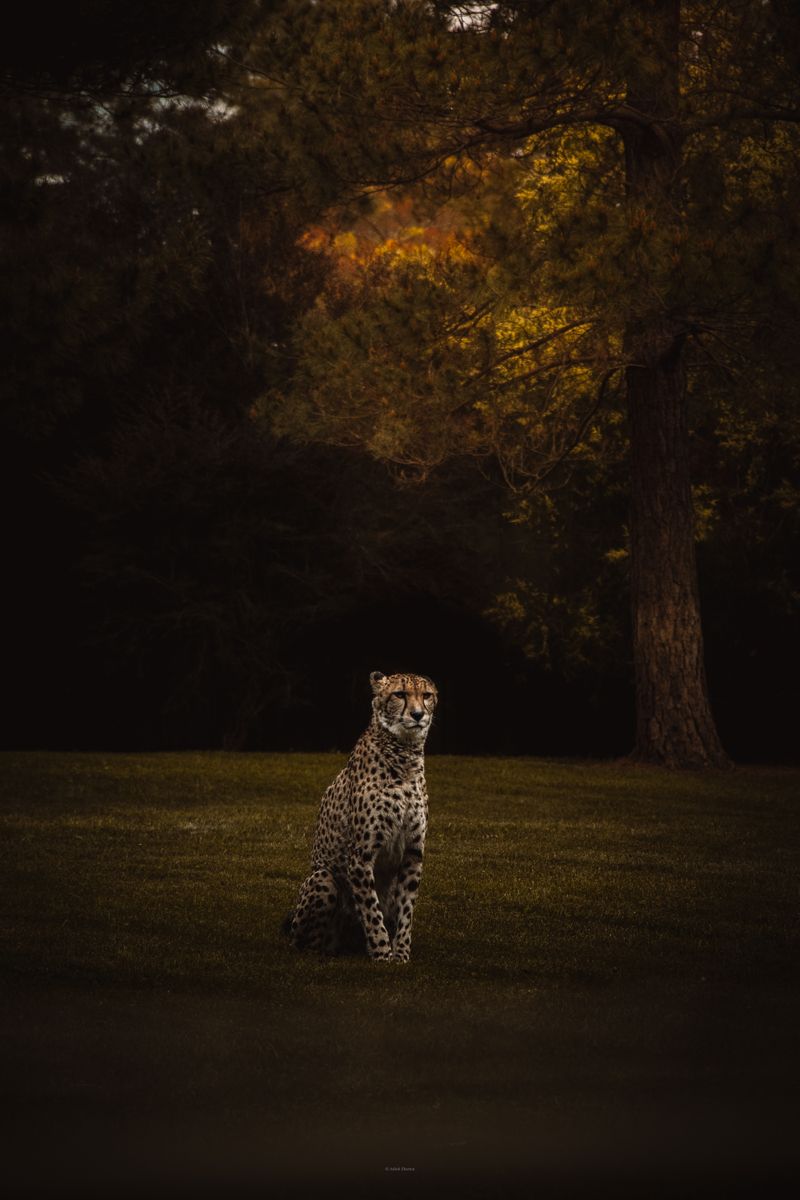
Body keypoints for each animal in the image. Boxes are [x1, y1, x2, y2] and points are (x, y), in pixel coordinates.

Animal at [286, 670, 437, 962]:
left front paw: (401, 955)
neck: (404, 755)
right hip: (323, 879)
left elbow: (406, 912)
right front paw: (382, 955)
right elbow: (370, 910)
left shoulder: (413, 853)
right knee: (305, 941)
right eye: (399, 694)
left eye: (426, 695)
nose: (417, 715)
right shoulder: (360, 855)